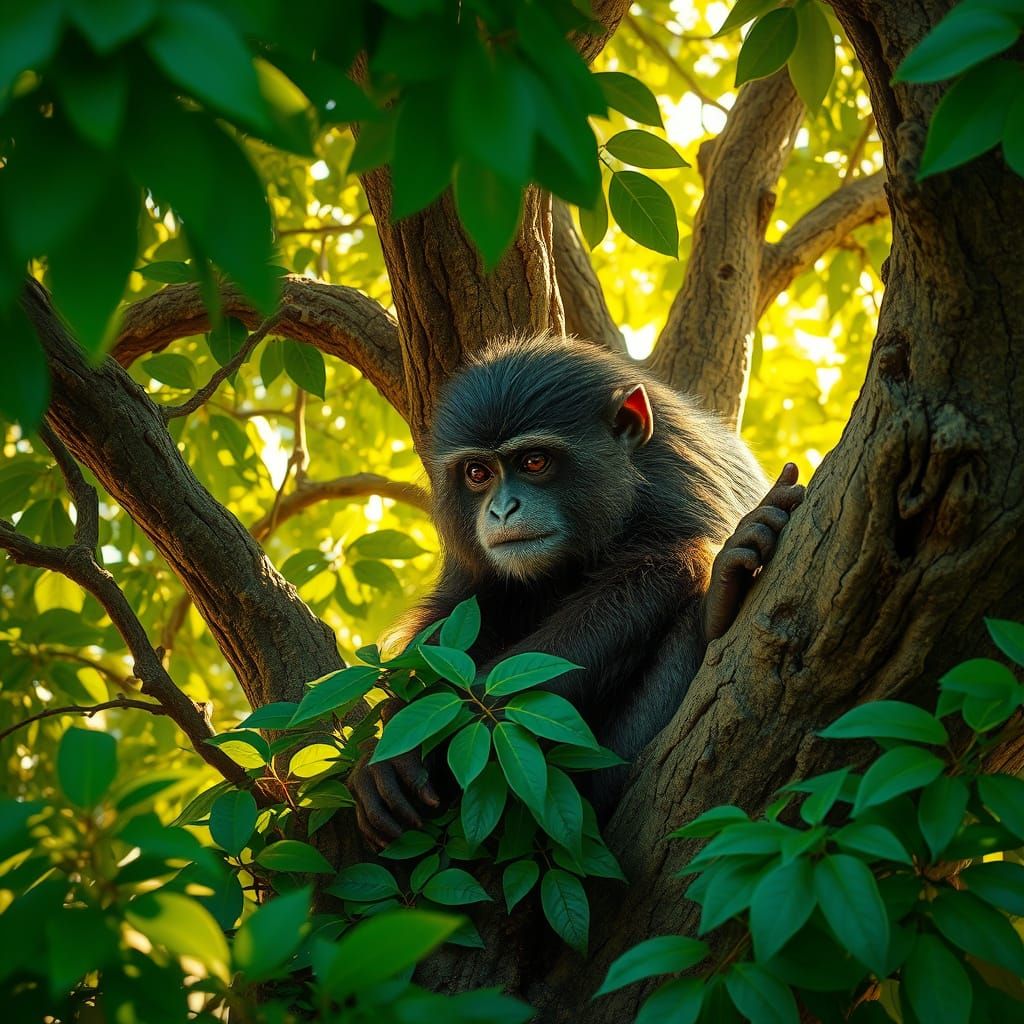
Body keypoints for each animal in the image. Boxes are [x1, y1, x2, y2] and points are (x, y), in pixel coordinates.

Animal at [351, 334, 804, 849]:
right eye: (477, 473)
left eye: (534, 461)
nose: (502, 509)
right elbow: (458, 613)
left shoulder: (680, 483)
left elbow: (667, 567)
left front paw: (408, 737)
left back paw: (718, 604)